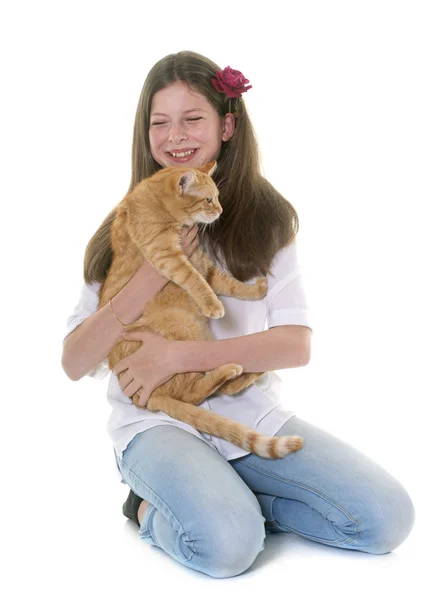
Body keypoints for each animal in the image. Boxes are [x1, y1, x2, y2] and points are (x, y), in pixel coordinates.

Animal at [98, 161, 302, 460]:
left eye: (217, 197)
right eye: (208, 199)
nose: (220, 210)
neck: (154, 198)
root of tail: (140, 398)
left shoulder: (205, 265)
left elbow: (229, 283)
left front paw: (255, 290)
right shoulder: (166, 255)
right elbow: (193, 279)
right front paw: (214, 306)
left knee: (217, 389)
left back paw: (250, 372)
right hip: (182, 333)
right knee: (193, 394)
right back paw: (231, 371)